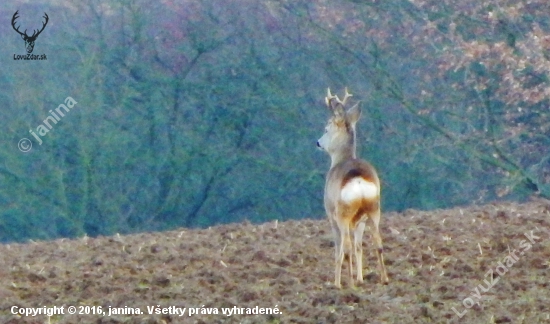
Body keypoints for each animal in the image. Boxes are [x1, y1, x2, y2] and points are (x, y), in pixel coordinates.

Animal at [316, 87, 390, 288]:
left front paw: (337, 282)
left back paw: (347, 284)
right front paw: (360, 277)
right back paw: (384, 278)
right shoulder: (359, 220)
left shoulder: (330, 214)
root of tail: (358, 181)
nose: (318, 142)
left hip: (343, 212)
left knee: (346, 247)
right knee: (378, 243)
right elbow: (359, 247)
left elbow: (339, 249)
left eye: (327, 128)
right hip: (373, 209)